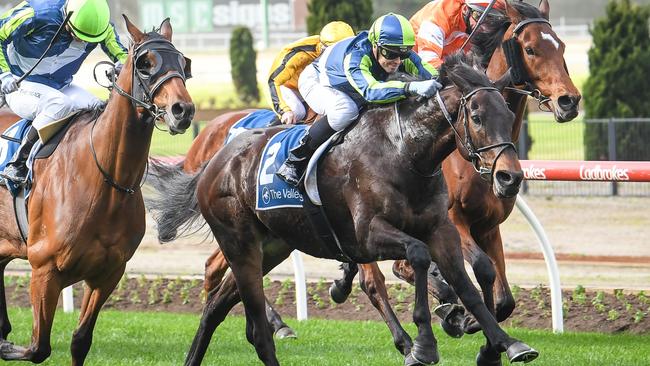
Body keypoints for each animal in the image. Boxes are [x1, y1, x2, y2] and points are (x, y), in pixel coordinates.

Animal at [0, 16, 194, 364]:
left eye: (184, 63)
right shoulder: (44, 269)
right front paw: (6, 345)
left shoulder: (108, 272)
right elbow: (37, 347)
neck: (106, 180)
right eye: (145, 64)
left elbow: (79, 341)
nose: (182, 110)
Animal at [148, 53, 536, 366]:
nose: (510, 177)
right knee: (255, 330)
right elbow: (418, 255)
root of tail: (215, 160)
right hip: (239, 244)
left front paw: (502, 344)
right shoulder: (366, 236)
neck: (404, 151)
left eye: (507, 113)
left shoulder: (441, 228)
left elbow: (469, 282)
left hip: (270, 248)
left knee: (216, 308)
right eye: (477, 116)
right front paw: (424, 344)